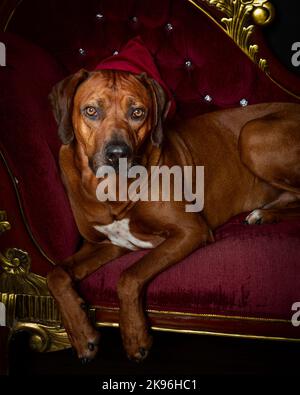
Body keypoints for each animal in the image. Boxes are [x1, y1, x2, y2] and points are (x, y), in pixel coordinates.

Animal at [47, 67, 300, 362]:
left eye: (138, 113)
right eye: (91, 111)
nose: (118, 154)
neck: (112, 189)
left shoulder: (190, 231)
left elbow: (129, 276)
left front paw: (135, 337)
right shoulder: (105, 245)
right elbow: (56, 274)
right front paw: (81, 334)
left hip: (251, 134)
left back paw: (264, 214)